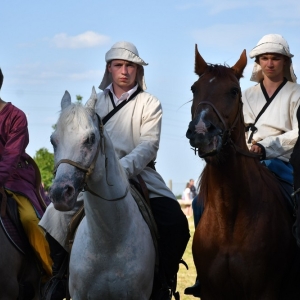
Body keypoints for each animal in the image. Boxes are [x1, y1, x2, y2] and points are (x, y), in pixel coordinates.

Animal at [185, 45, 300, 300]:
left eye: (233, 91)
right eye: (194, 88)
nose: (201, 132)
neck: (229, 216)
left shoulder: (264, 291)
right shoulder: (212, 292)